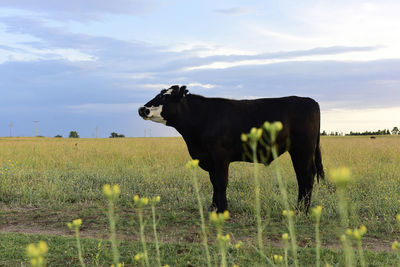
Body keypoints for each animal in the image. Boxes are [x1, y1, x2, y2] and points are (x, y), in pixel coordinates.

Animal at [139, 86, 324, 214]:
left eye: (166, 97)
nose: (142, 109)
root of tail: (310, 101)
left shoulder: (220, 156)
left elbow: (221, 181)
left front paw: (223, 210)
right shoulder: (210, 159)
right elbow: (214, 182)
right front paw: (213, 208)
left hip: (303, 150)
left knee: (305, 176)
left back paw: (301, 210)